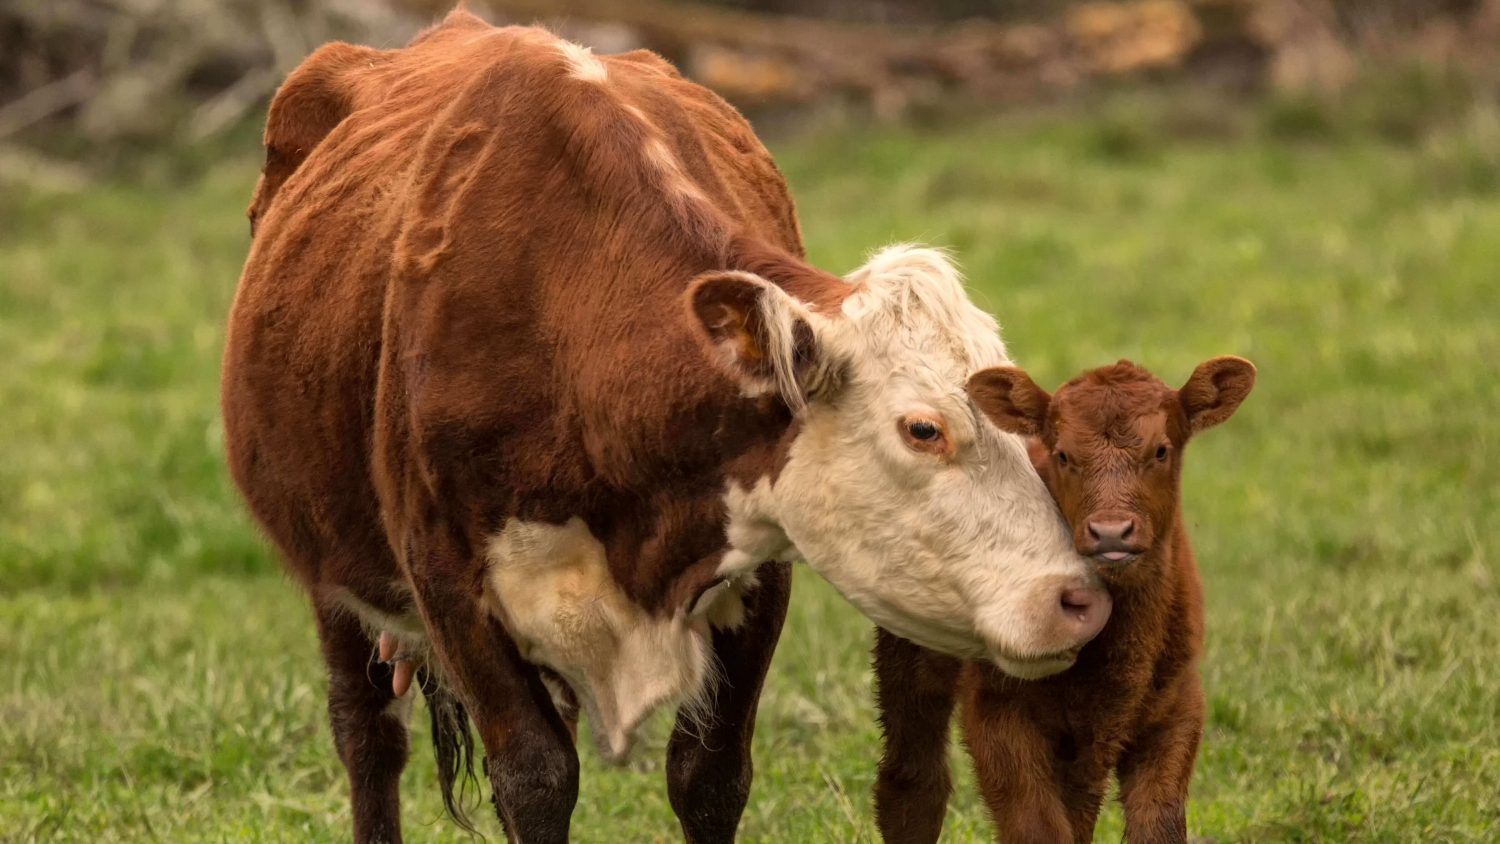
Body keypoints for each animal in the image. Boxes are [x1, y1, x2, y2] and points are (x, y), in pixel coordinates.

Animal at [221, 10, 1109, 842]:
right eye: (923, 429)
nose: (1079, 599)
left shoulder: (758, 567)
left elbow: (707, 777)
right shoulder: (446, 580)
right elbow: (534, 778)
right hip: (332, 575)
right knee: (367, 734)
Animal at [871, 357, 1256, 843]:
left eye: (1161, 451)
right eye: (1064, 455)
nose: (1111, 532)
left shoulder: (1178, 706)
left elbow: (1158, 823)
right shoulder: (998, 709)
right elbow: (1037, 826)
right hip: (909, 654)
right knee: (913, 782)